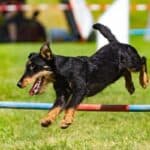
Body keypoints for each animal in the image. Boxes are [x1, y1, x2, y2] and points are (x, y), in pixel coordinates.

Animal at [17, 23, 149, 129]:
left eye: (33, 67)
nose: (18, 84)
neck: (63, 71)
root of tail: (118, 43)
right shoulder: (61, 94)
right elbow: (55, 107)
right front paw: (47, 120)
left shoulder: (80, 89)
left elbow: (70, 105)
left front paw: (66, 121)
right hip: (120, 70)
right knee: (126, 72)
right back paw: (130, 87)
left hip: (133, 63)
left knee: (143, 60)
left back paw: (144, 81)